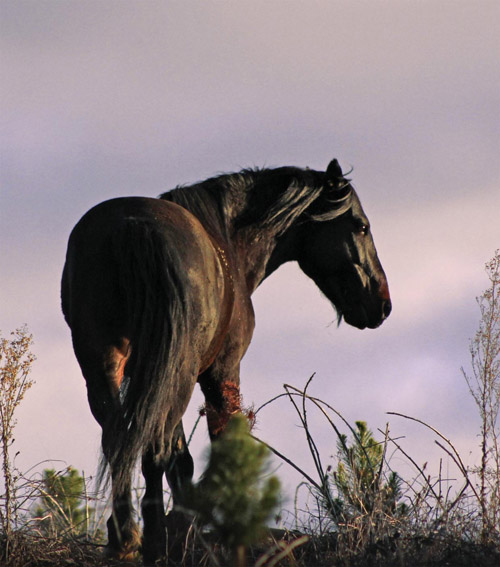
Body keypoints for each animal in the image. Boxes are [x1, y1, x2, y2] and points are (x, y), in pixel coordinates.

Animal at [61, 159, 390, 564]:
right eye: (361, 226)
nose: (382, 304)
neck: (228, 243)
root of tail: (132, 225)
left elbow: (181, 458)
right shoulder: (221, 371)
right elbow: (223, 443)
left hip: (108, 367)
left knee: (120, 439)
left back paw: (125, 537)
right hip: (177, 373)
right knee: (152, 448)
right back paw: (153, 541)